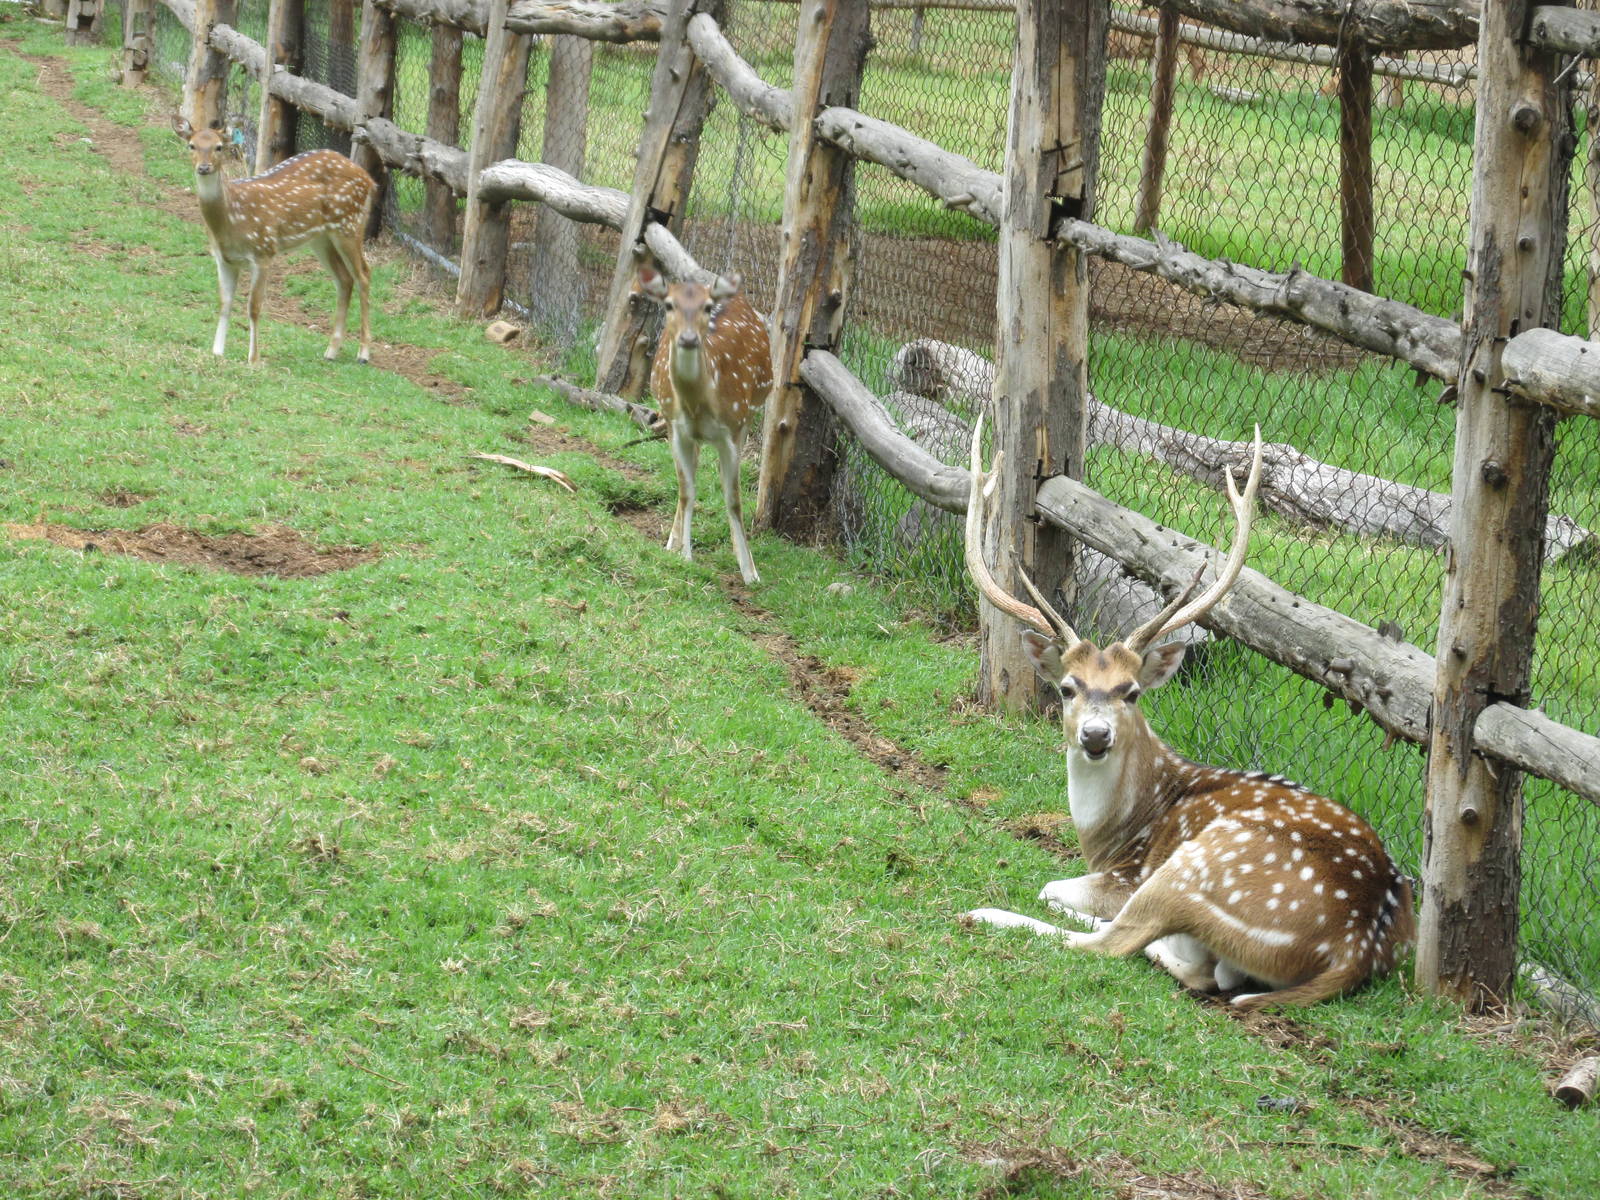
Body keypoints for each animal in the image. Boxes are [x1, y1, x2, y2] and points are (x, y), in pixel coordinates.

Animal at [171, 116, 375, 366]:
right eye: (192, 145)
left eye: (218, 147)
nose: (204, 167)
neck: (231, 220)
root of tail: (369, 180)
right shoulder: (224, 259)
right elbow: (224, 303)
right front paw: (217, 352)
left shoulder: (264, 251)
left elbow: (254, 307)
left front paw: (254, 359)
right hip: (321, 238)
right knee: (344, 279)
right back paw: (331, 351)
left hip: (349, 223)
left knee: (363, 274)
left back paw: (363, 353)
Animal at [639, 265, 773, 586]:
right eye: (669, 305)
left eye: (707, 307)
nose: (688, 339)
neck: (699, 405)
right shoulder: (678, 428)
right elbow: (687, 490)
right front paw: (684, 554)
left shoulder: (733, 429)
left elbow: (734, 499)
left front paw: (750, 571)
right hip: (674, 424)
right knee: (690, 475)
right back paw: (671, 543)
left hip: (749, 413)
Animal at [961, 417, 1414, 1011]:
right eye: (1066, 688)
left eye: (1131, 692)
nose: (1096, 735)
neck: (1112, 833)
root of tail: (1353, 948)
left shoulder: (1128, 875)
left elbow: (1053, 887)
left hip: (1196, 867)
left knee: (1119, 946)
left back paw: (984, 913)